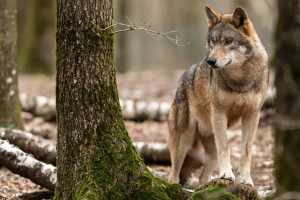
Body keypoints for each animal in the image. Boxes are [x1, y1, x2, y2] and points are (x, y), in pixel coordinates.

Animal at [168, 6, 268, 188]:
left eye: (228, 42)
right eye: (213, 42)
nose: (210, 60)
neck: (240, 81)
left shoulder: (252, 114)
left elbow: (246, 151)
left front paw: (245, 179)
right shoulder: (219, 112)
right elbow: (225, 148)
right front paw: (227, 174)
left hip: (208, 149)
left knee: (202, 178)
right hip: (183, 143)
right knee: (173, 175)